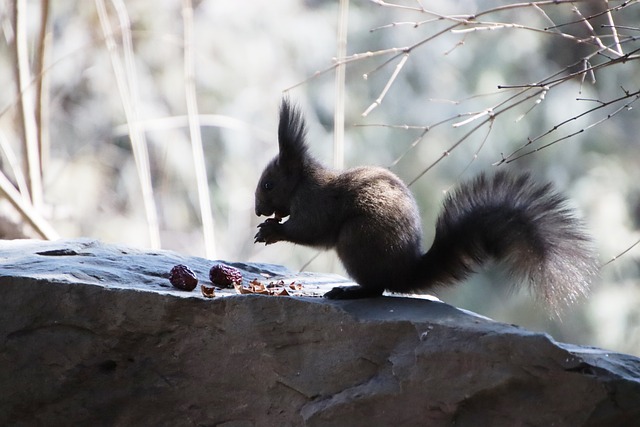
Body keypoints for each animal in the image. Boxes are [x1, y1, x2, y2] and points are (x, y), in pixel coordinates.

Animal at [252, 98, 596, 312]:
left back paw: (350, 291)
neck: (303, 181)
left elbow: (310, 231)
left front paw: (271, 231)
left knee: (377, 288)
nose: (257, 209)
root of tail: (405, 272)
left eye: (268, 184)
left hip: (356, 240)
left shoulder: (316, 204)